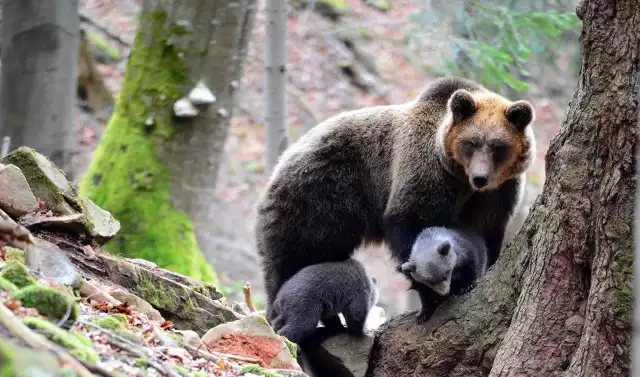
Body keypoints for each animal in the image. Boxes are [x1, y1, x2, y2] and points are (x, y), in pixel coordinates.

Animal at [254, 77, 536, 324]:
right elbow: (410, 225)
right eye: (471, 143)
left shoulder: (497, 194)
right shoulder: (426, 172)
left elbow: (486, 233)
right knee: (296, 256)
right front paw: (430, 297)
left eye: (498, 147)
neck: (460, 177)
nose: (480, 177)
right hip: (323, 197)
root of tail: (281, 162)